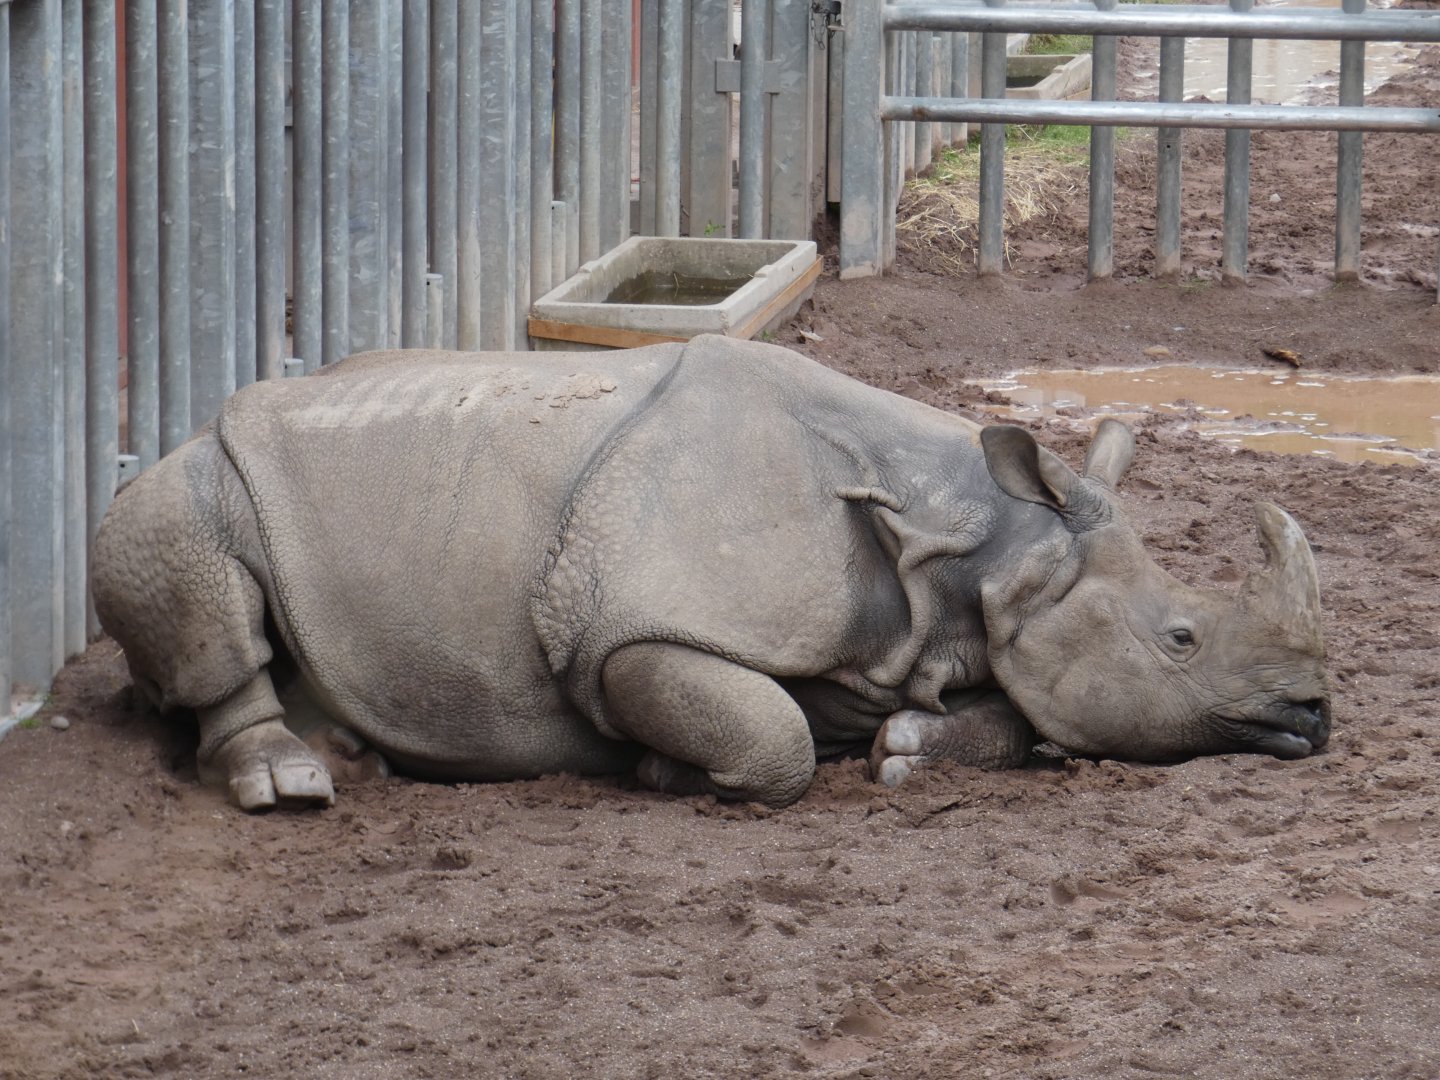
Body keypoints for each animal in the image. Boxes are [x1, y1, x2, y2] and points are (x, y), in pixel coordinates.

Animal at [91, 336, 1330, 811]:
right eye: (1180, 639)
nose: (1317, 715)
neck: (980, 542)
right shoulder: (627, 631)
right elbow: (769, 736)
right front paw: (663, 771)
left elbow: (1018, 713)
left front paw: (907, 747)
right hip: (208, 467)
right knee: (179, 540)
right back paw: (293, 780)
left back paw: (346, 746)